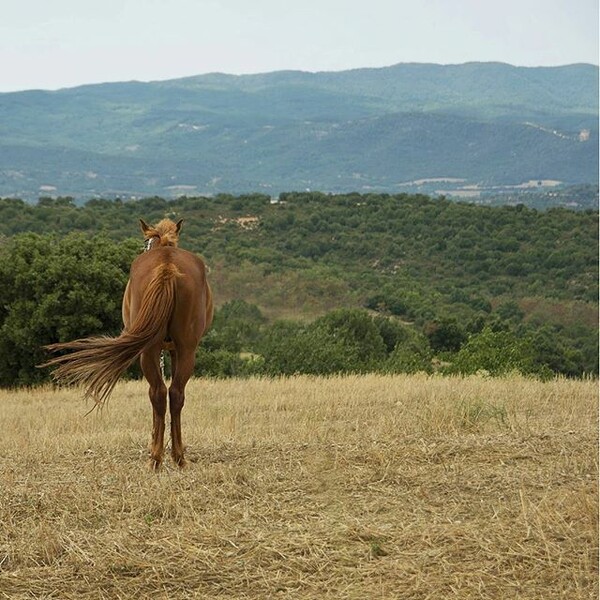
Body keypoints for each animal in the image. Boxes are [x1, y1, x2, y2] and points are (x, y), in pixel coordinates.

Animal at [45, 218, 213, 472]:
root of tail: (167, 265)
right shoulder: (173, 350)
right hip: (182, 350)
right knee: (172, 393)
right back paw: (176, 457)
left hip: (154, 350)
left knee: (159, 393)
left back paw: (157, 457)